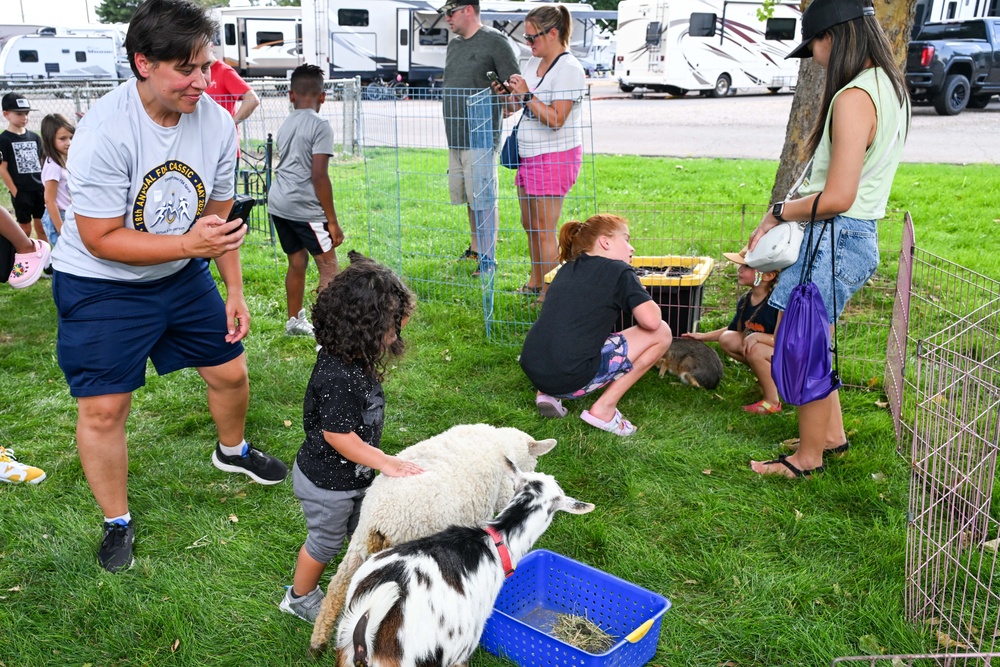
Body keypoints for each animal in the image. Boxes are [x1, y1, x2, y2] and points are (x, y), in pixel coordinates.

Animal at [306, 426, 556, 656]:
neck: (503, 441)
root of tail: (381, 519)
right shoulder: (500, 497)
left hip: (359, 538)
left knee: (337, 587)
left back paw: (318, 642)